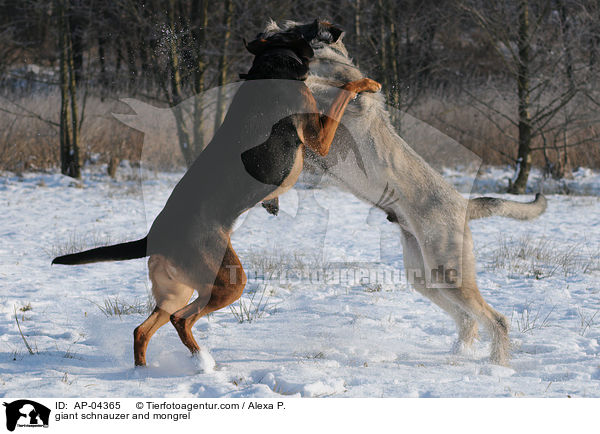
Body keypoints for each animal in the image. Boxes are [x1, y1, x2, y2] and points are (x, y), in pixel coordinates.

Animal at [51, 28, 380, 366]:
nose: (336, 31)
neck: (270, 63)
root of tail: (154, 237)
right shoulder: (318, 136)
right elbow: (344, 91)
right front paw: (367, 84)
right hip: (229, 281)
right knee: (181, 319)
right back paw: (204, 364)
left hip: (178, 290)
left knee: (142, 330)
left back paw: (146, 372)